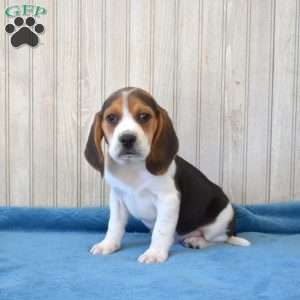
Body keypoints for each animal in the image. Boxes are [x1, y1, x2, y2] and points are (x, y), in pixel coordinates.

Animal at [84, 88, 248, 264]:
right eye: (111, 118)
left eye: (144, 116)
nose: (127, 138)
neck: (133, 167)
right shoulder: (117, 199)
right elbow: (114, 225)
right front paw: (107, 245)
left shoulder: (168, 200)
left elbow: (161, 230)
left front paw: (154, 253)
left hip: (221, 219)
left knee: (218, 239)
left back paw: (197, 241)